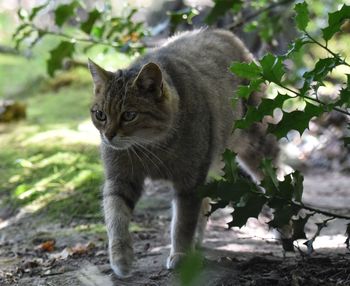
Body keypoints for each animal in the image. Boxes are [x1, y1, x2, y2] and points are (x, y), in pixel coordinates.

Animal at [88, 28, 278, 278]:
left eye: (129, 115)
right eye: (100, 115)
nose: (108, 136)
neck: (151, 146)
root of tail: (224, 32)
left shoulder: (189, 183)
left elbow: (182, 223)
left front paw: (180, 254)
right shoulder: (120, 179)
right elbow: (115, 217)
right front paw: (121, 258)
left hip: (256, 147)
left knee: (276, 180)